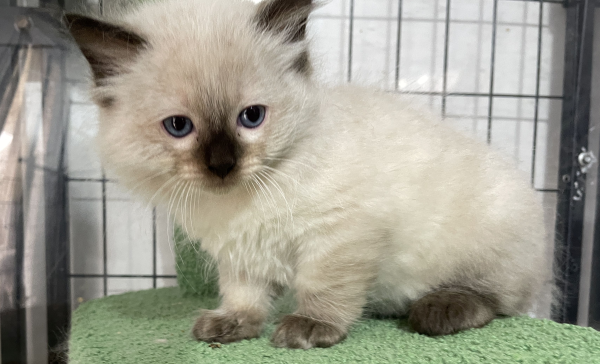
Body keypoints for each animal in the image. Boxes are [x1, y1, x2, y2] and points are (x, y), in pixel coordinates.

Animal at [65, 0, 552, 348]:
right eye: (179, 127)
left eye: (252, 117)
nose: (222, 166)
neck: (241, 202)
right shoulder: (241, 253)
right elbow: (243, 296)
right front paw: (233, 326)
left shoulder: (338, 236)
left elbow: (323, 288)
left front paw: (308, 328)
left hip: (487, 245)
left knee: (499, 301)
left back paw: (437, 311)